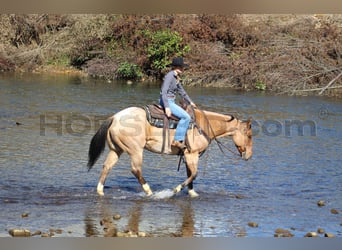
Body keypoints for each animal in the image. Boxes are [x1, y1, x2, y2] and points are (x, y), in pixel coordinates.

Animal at [87, 105, 252, 197]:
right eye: (249, 135)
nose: (249, 156)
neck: (204, 125)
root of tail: (115, 117)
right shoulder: (192, 155)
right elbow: (194, 174)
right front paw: (176, 190)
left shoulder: (188, 156)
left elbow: (190, 175)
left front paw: (192, 193)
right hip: (135, 150)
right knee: (135, 170)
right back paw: (149, 191)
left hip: (117, 149)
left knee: (107, 167)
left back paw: (100, 190)